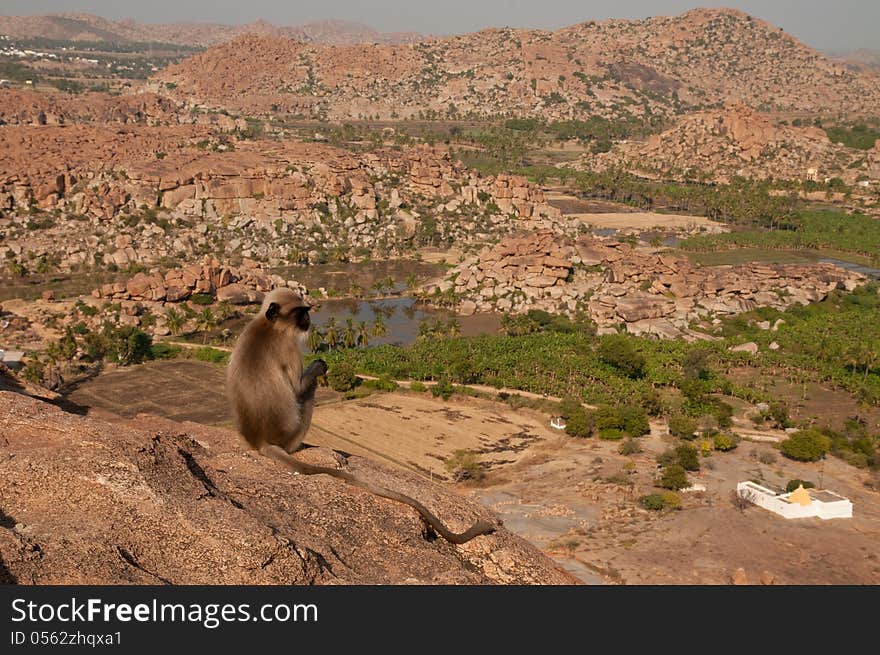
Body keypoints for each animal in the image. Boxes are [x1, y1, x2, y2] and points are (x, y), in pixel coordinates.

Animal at [227, 290, 496, 544]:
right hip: (292, 432)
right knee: (309, 391)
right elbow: (299, 389)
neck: (267, 326)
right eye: (300, 312)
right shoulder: (289, 346)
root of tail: (260, 440)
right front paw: (319, 365)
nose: (308, 320)